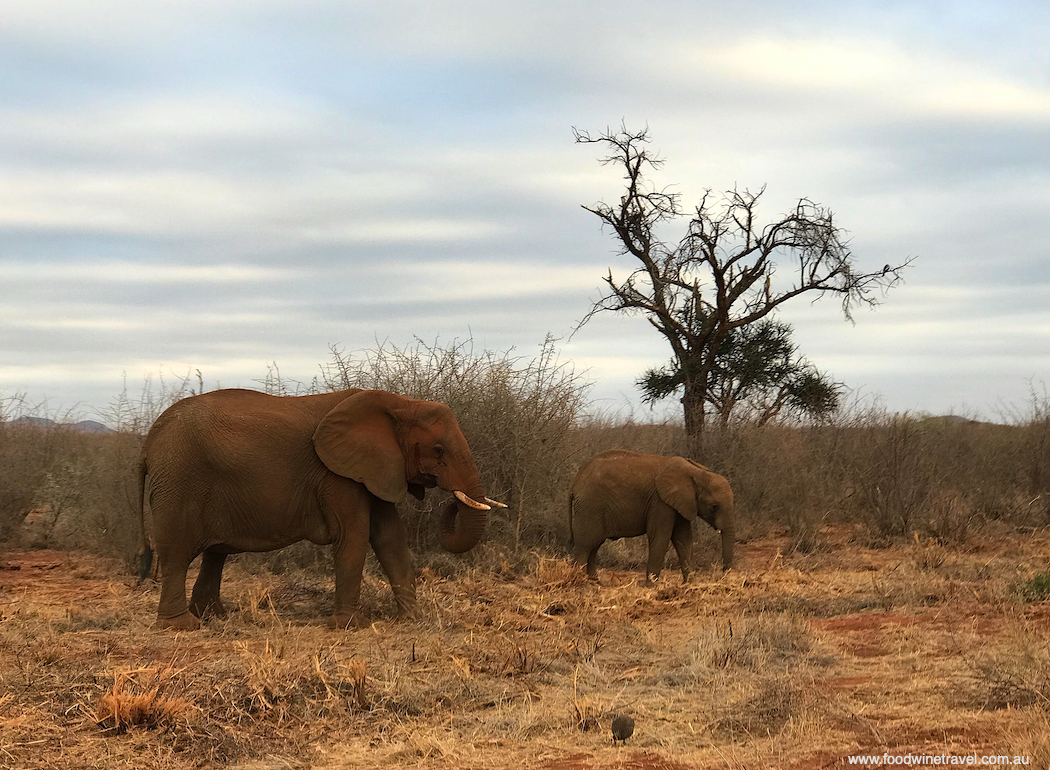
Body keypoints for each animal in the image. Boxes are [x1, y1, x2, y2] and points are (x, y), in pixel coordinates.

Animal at [138, 386, 503, 626]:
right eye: (438, 450)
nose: (453, 500)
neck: (400, 403)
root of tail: (149, 439)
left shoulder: (371, 467)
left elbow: (389, 536)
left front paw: (411, 618)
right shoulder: (336, 474)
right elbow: (353, 535)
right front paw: (349, 626)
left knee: (215, 554)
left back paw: (213, 616)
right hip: (179, 481)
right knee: (176, 554)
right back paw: (183, 625)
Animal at [571, 447, 734, 579]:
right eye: (715, 507)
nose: (723, 574)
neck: (696, 472)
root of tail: (576, 481)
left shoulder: (680, 503)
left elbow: (684, 538)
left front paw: (691, 584)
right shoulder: (660, 501)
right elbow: (660, 536)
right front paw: (650, 586)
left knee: (593, 546)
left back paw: (595, 582)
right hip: (590, 507)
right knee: (584, 546)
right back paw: (580, 583)